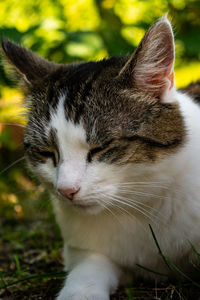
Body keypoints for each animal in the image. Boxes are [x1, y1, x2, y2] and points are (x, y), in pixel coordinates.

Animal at [1, 16, 200, 300]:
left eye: (100, 148)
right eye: (47, 152)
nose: (66, 190)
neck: (139, 205)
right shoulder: (85, 250)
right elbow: (89, 268)